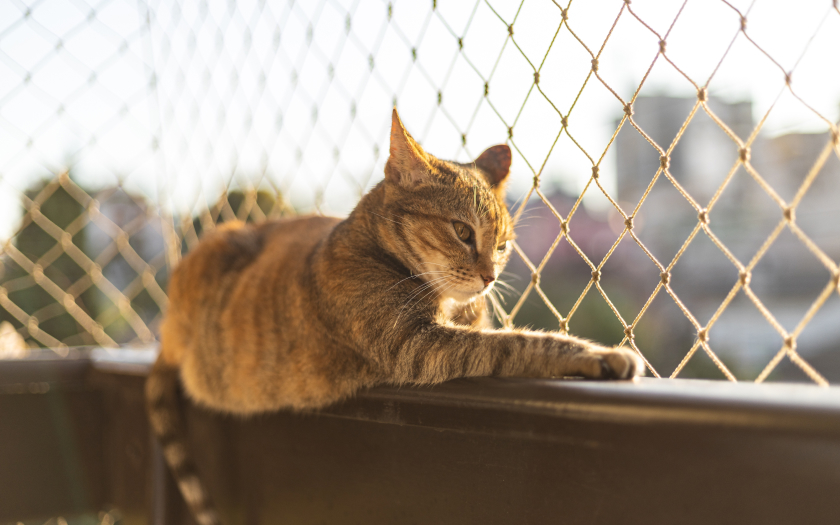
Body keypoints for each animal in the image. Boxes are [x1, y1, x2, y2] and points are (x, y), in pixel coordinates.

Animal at [146, 108, 644, 520]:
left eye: (502, 245)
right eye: (463, 231)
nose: (488, 278)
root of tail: (168, 331)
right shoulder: (419, 346)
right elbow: (520, 343)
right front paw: (604, 356)